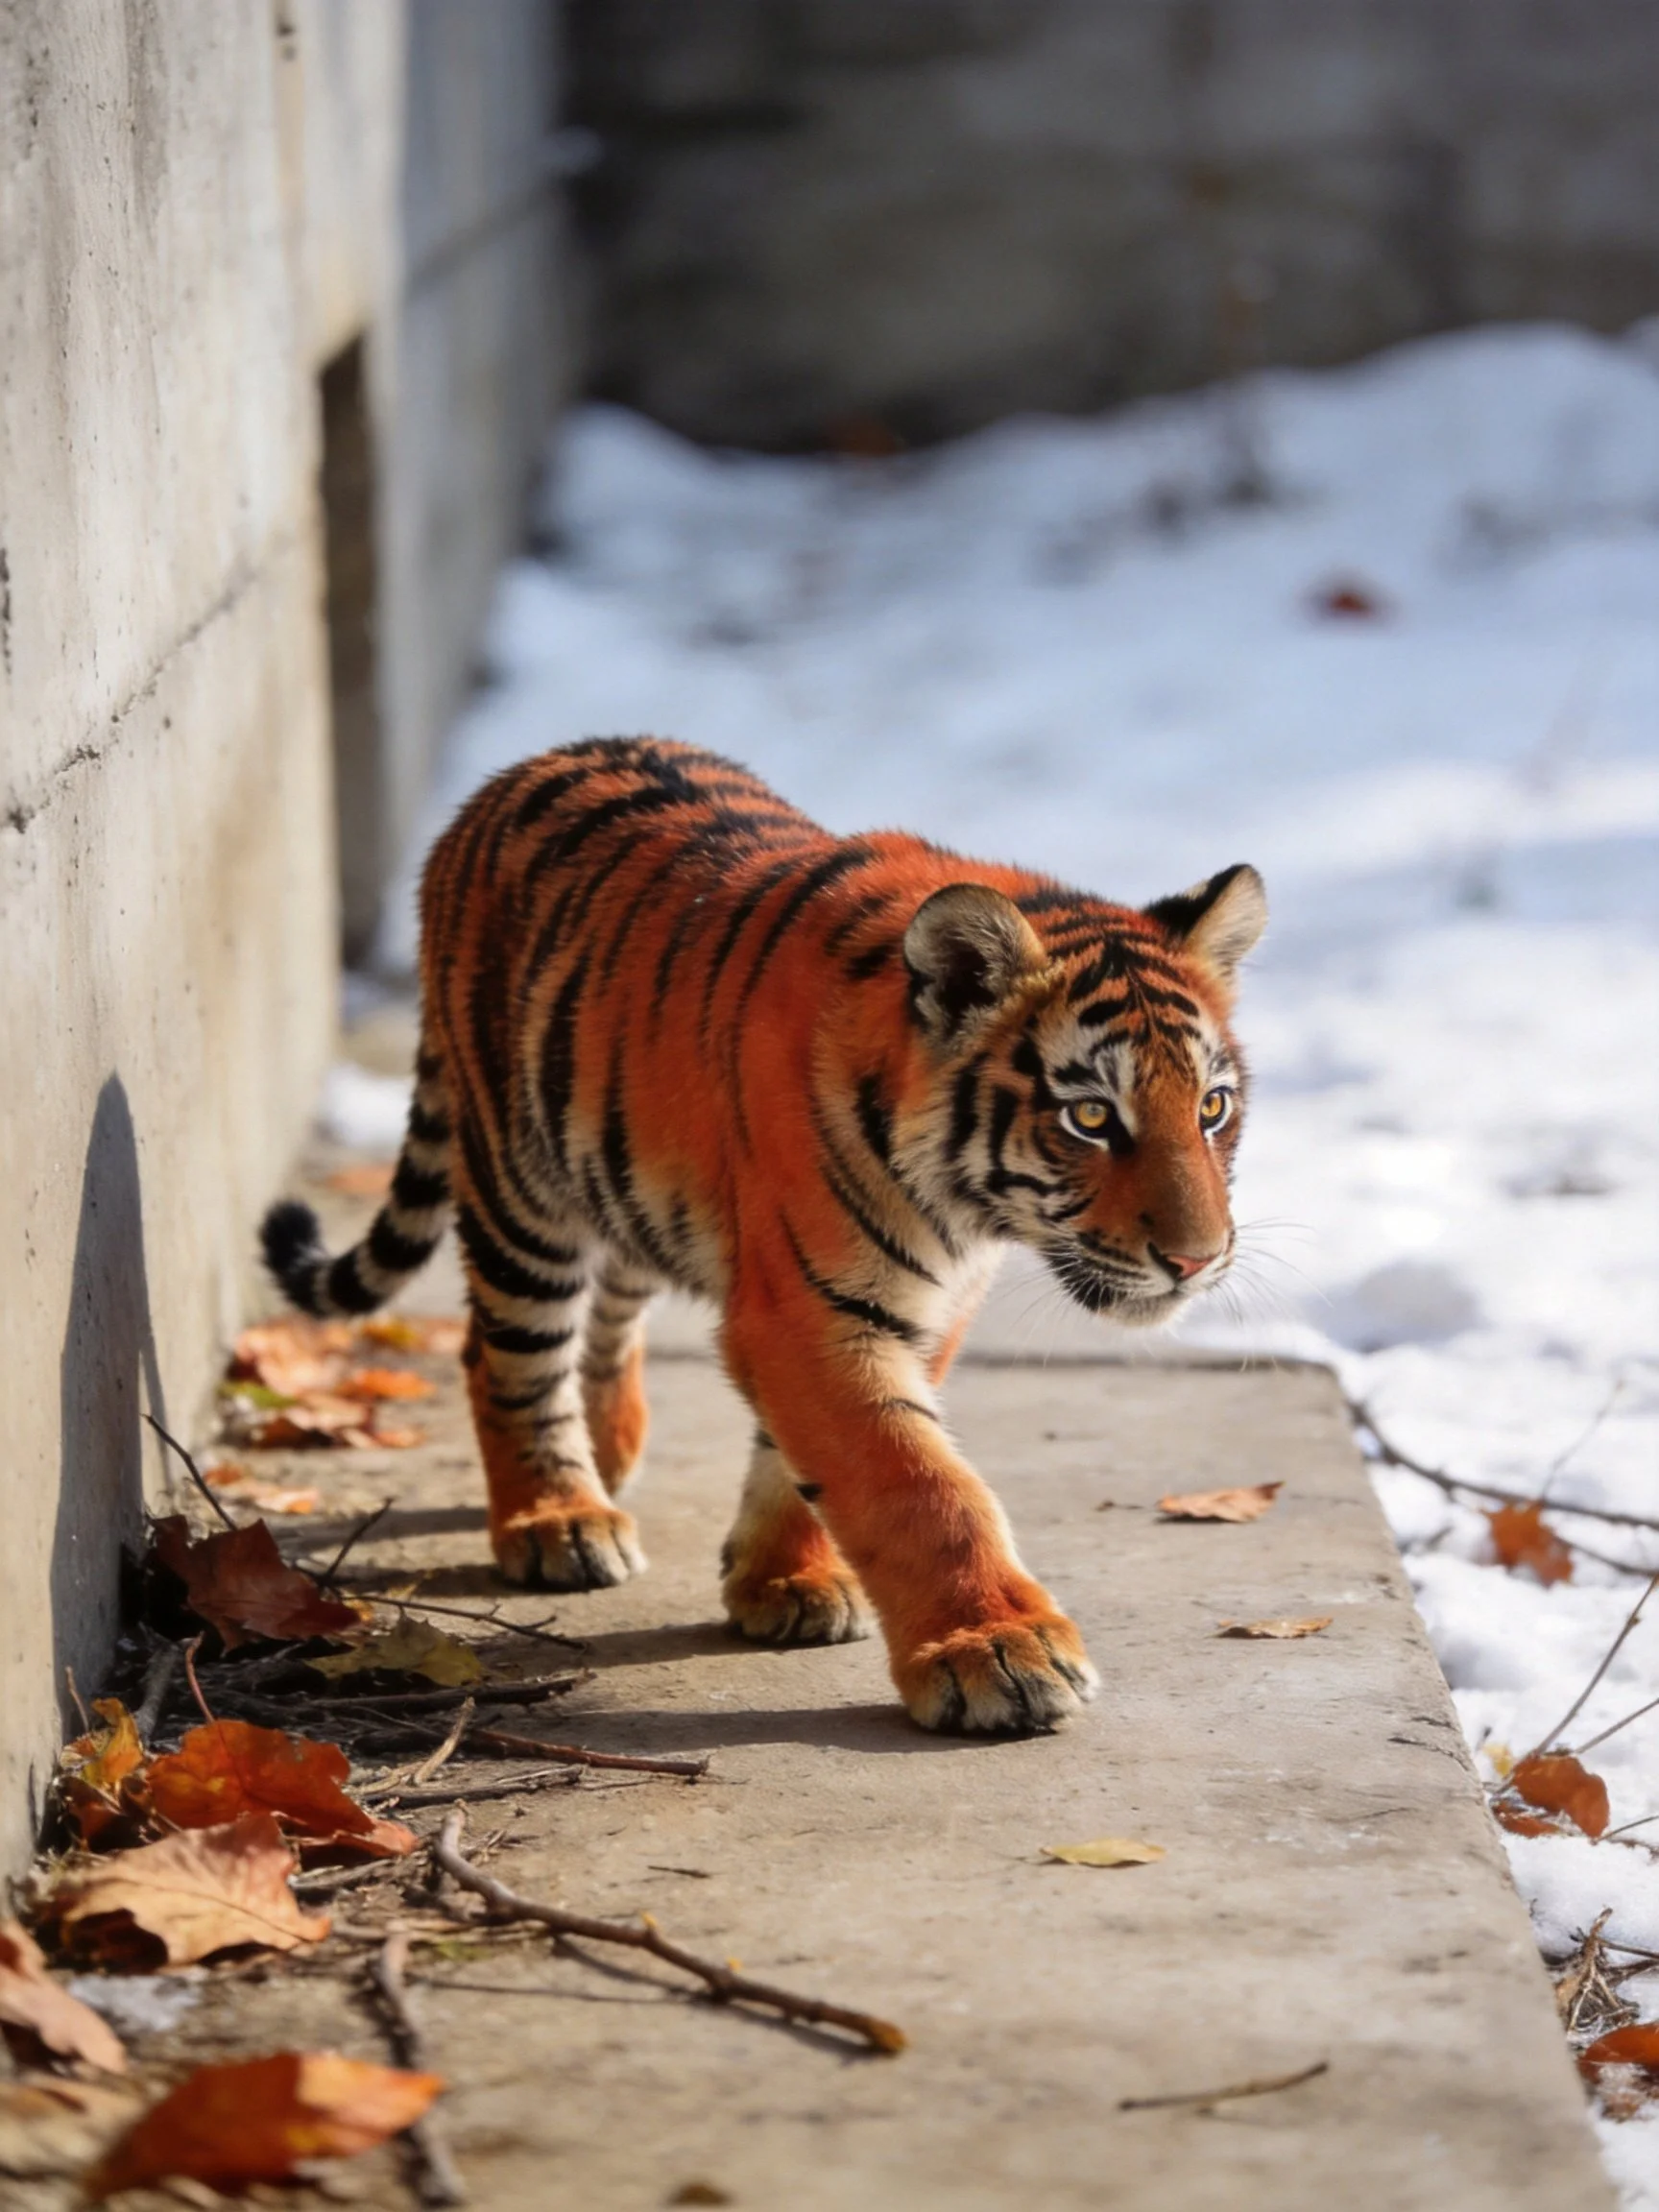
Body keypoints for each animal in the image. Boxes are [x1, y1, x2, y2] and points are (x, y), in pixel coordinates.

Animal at [263, 738, 1265, 1733]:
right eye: (1092, 1116)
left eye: (1212, 1107)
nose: (1196, 1259)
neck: (964, 1210)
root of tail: (512, 773)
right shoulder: (812, 1310)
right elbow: (916, 1482)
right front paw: (996, 1652)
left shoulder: (903, 1310)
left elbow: (805, 1461)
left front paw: (785, 1580)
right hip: (518, 1186)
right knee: (503, 1354)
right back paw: (556, 1519)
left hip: (622, 1179)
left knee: (614, 1303)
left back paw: (609, 1453)